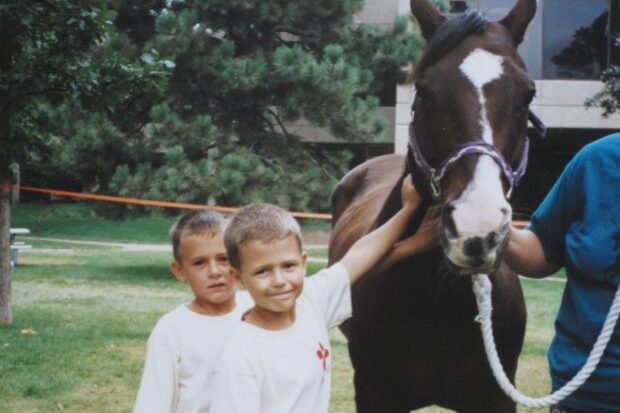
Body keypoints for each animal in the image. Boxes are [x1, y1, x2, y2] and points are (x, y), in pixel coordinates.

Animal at [330, 1, 544, 410]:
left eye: (527, 94)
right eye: (424, 91)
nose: (477, 231)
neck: (439, 300)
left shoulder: (496, 398)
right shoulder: (373, 393)